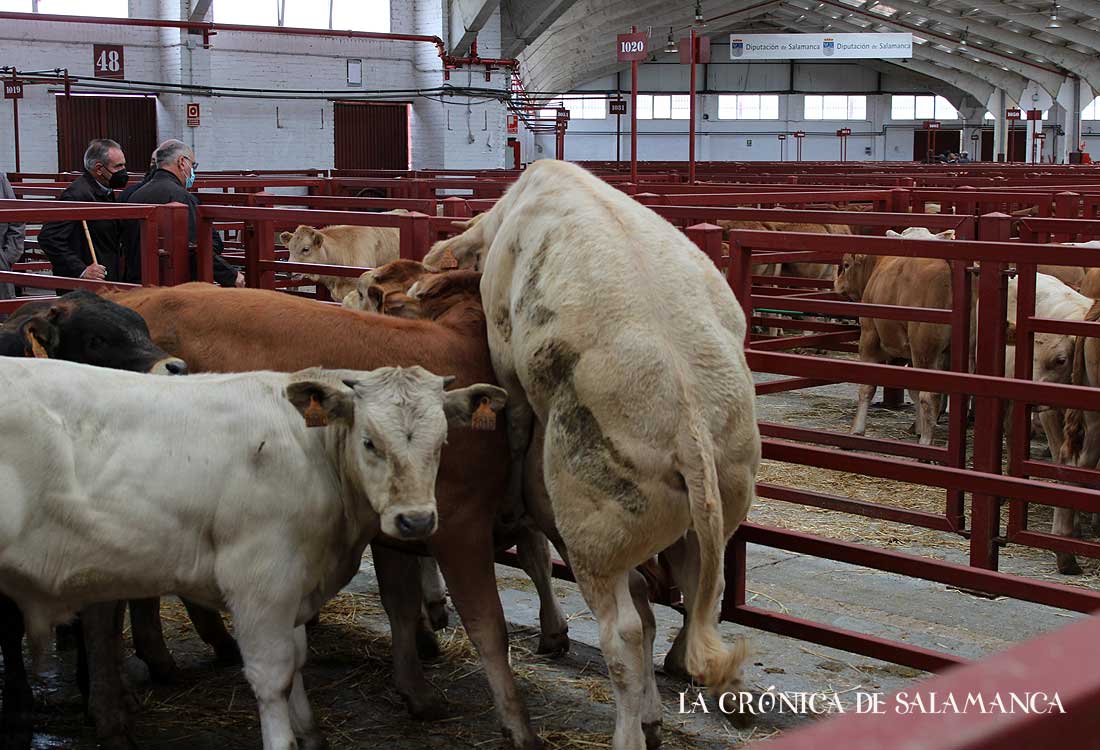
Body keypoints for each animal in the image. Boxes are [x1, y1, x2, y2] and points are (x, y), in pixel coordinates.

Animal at [0, 288, 189, 743]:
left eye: (144, 329)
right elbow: (8, 626)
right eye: (97, 341)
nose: (176, 368)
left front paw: (98, 693)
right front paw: (17, 710)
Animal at [0, 356, 503, 747]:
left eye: (442, 443)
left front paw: (310, 733)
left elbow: (298, 660)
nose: (415, 521)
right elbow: (272, 676)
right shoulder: (260, 582)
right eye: (370, 442)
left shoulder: (294, 585)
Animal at [111, 281, 545, 747]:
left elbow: (401, 603)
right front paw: (518, 725)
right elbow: (487, 626)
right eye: (369, 441)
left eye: (441, 440)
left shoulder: (398, 522)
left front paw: (416, 686)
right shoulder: (459, 528)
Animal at [836, 225, 959, 442]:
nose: (837, 283)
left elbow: (867, 387)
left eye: (846, 265)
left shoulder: (869, 335)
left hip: (924, 350)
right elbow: (912, 389)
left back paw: (926, 443)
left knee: (930, 396)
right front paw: (917, 426)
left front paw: (857, 430)